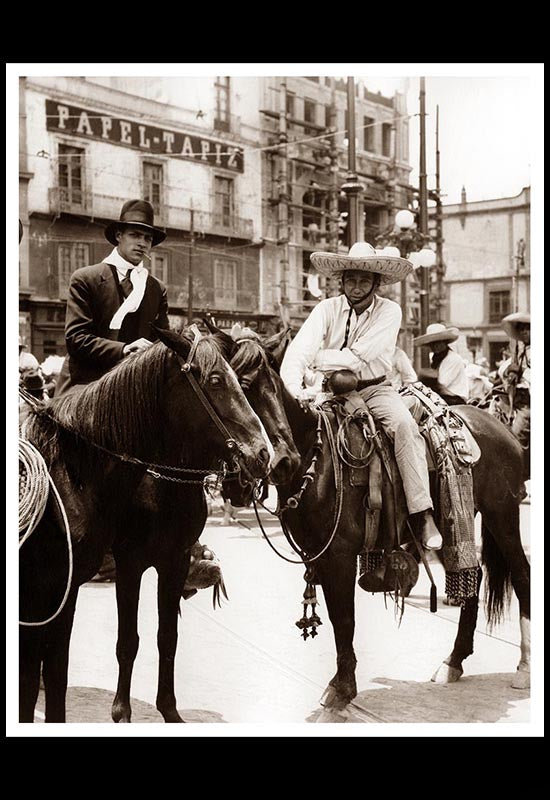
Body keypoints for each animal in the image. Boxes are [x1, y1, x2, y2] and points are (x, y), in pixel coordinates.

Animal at [18, 328, 272, 720]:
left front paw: (169, 710)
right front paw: (121, 712)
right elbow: (126, 642)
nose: (263, 454)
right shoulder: (127, 564)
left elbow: (167, 638)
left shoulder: (174, 561)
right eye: (216, 380)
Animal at [218, 328, 532, 716]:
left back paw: (524, 668)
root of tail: (497, 427)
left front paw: (342, 689)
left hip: (502, 515)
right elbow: (338, 617)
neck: (317, 460)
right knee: (472, 577)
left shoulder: (337, 556)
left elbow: (343, 618)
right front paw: (342, 684)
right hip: (455, 521)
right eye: (225, 390)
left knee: (521, 575)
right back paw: (453, 662)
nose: (280, 460)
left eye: (267, 386)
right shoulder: (318, 554)